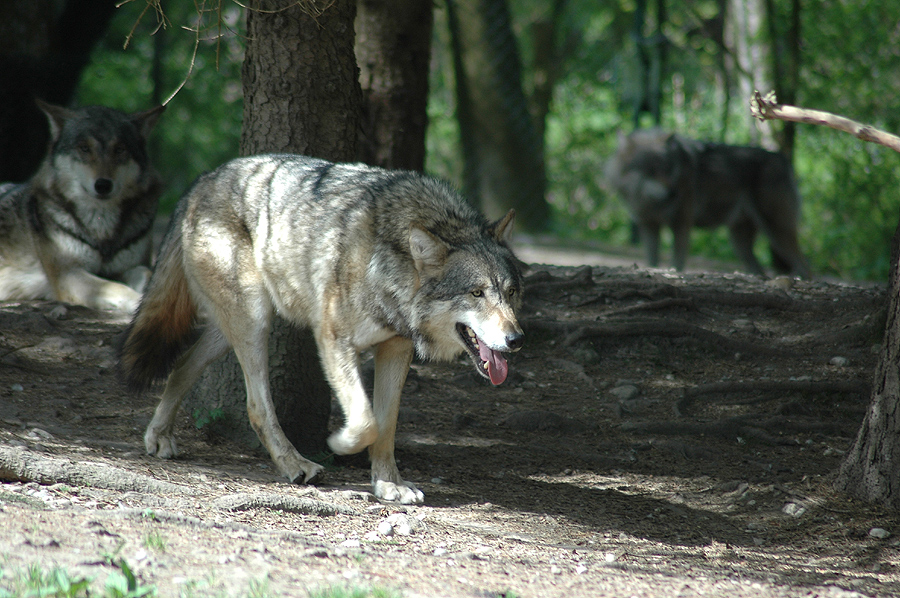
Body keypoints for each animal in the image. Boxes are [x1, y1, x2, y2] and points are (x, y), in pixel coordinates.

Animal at [0, 101, 165, 314]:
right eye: (84, 148)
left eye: (120, 149)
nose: (103, 185)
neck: (102, 228)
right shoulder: (68, 273)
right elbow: (115, 287)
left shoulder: (129, 268)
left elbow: (147, 274)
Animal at [119, 155, 528, 506]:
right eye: (476, 293)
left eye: (511, 292)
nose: (516, 340)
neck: (387, 258)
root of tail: (202, 180)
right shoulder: (333, 339)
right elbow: (366, 422)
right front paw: (340, 443)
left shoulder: (396, 347)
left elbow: (387, 425)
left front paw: (388, 484)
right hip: (254, 319)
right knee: (256, 406)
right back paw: (296, 465)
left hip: (235, 326)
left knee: (184, 362)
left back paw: (159, 435)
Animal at [604, 129, 808, 278]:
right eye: (652, 171)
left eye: (667, 169)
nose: (673, 192)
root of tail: (782, 158)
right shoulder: (649, 226)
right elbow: (652, 260)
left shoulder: (681, 223)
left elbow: (677, 261)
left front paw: (675, 275)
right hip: (740, 242)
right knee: (761, 270)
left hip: (776, 232)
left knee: (804, 264)